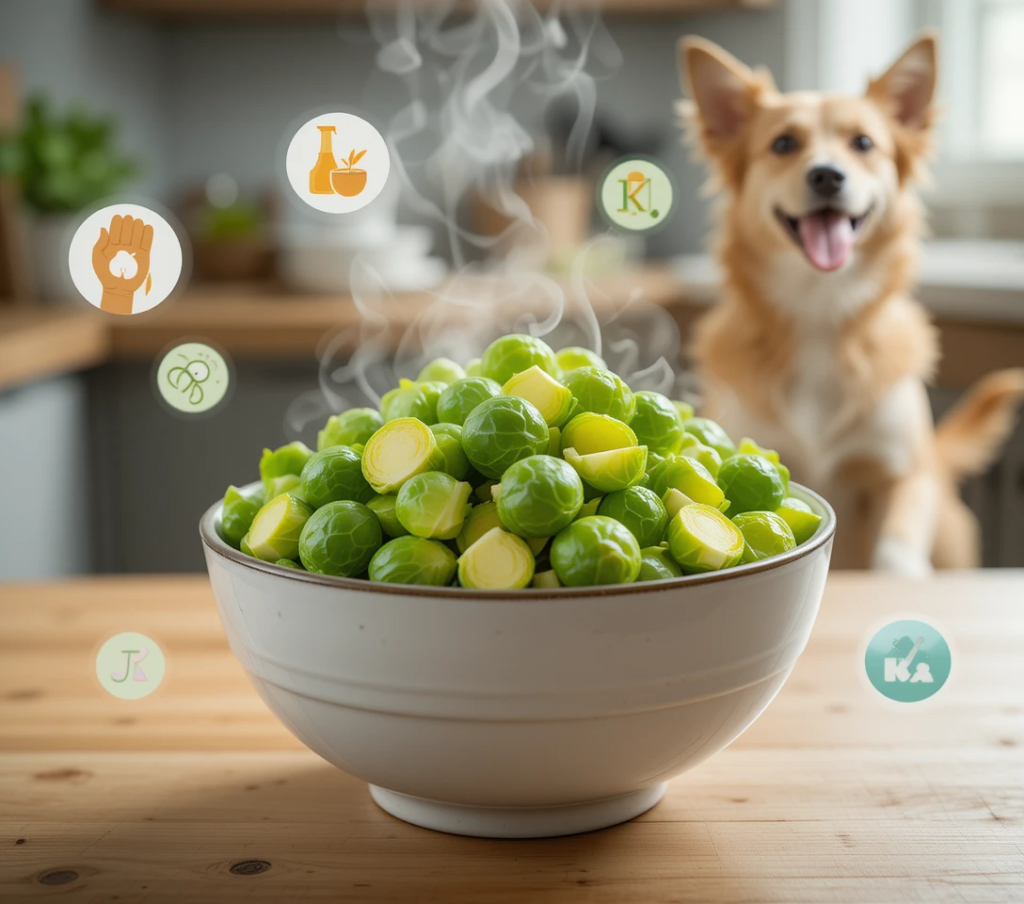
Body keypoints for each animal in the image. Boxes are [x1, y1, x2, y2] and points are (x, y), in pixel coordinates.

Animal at [675, 35, 1019, 577]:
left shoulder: (901, 474)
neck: (821, 309)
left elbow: (895, 548)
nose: (827, 176)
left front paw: (900, 576)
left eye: (863, 143)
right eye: (783, 144)